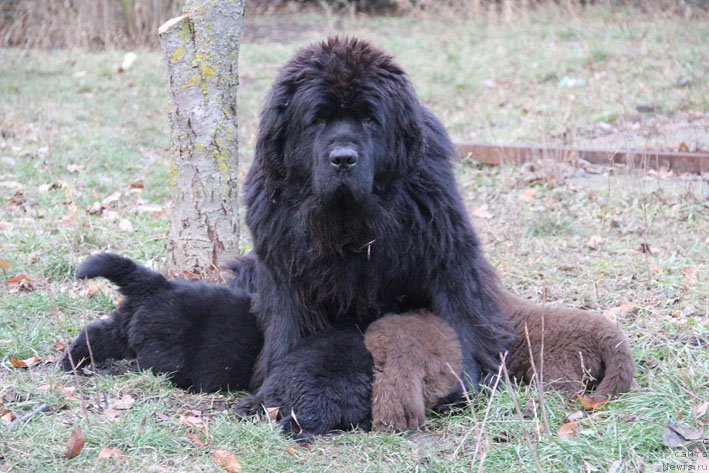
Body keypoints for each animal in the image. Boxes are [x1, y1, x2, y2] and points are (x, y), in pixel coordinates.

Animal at [61, 253, 262, 392]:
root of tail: (160, 286)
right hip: (167, 354)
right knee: (145, 369)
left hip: (124, 327)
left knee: (94, 335)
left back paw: (71, 363)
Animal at [241, 37, 512, 392]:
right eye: (318, 120)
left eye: (370, 119)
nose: (343, 158)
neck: (348, 223)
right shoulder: (284, 264)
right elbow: (286, 325)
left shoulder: (445, 247)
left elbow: (460, 312)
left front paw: (467, 377)